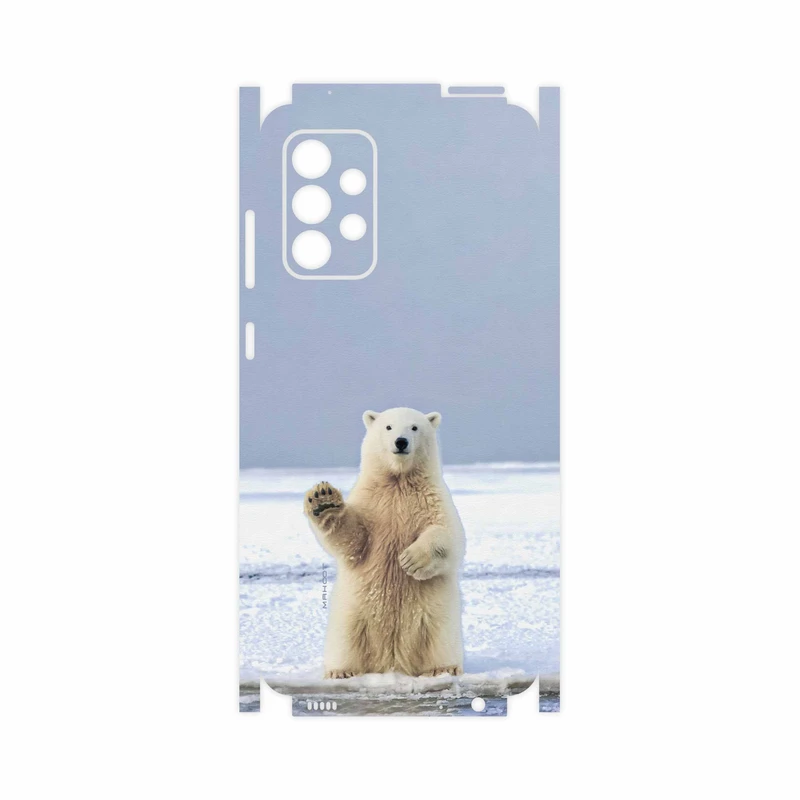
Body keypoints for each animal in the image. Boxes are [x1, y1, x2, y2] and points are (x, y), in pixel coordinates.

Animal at [304, 407, 465, 679]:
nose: (401, 442)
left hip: (437, 615)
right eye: (388, 427)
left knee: (440, 637)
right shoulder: (372, 503)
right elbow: (353, 540)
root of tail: (392, 662)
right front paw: (323, 500)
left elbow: (449, 535)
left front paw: (410, 560)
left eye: (414, 427)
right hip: (352, 613)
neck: (398, 481)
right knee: (345, 639)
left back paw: (443, 668)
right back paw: (340, 671)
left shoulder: (432, 499)